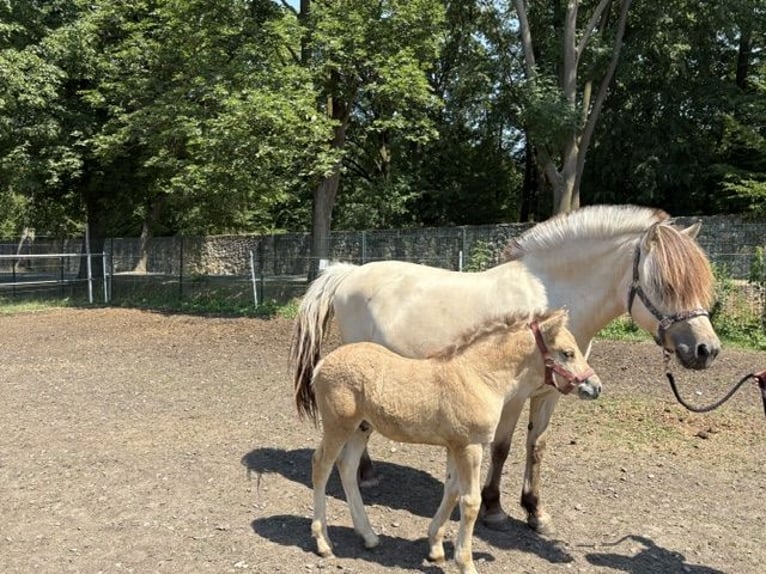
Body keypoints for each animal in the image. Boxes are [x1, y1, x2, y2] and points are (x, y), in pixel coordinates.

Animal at [289, 204, 720, 535]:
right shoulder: (512, 395)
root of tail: (349, 272)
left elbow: (536, 446)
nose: (707, 349)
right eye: (666, 284)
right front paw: (494, 508)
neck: (550, 296)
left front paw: (536, 513)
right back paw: (366, 473)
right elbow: (502, 447)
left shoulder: (550, 393)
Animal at [301, 310, 601, 574]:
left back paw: (369, 535)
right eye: (567, 353)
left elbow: (452, 490)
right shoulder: (470, 446)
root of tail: (322, 364)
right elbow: (470, 501)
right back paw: (323, 542)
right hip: (338, 425)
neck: (479, 377)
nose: (595, 387)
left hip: (361, 428)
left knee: (347, 467)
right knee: (321, 465)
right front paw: (465, 563)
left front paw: (435, 547)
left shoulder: (454, 445)